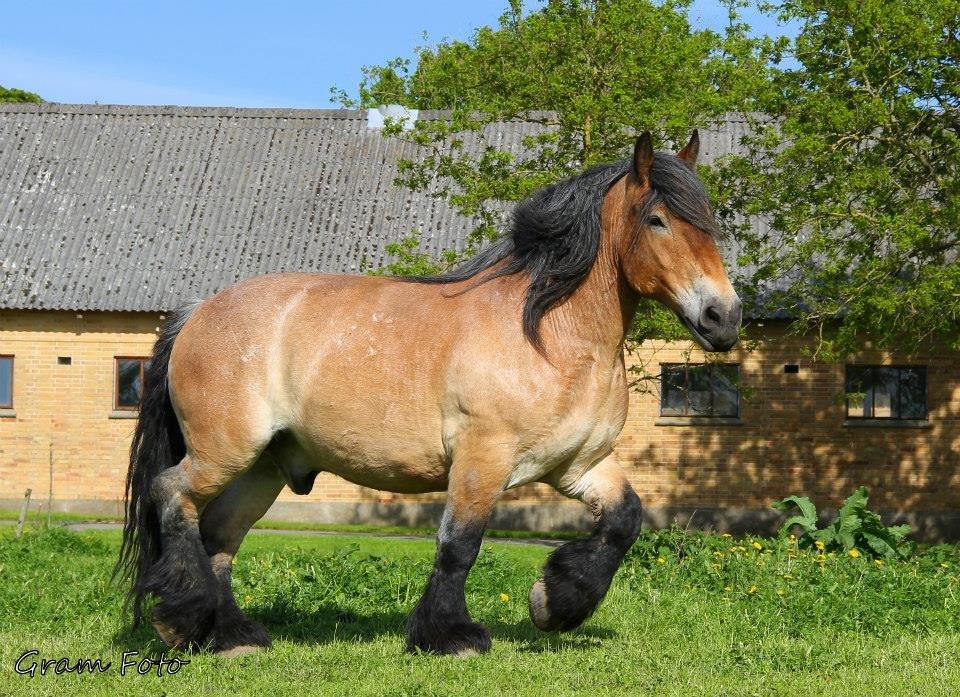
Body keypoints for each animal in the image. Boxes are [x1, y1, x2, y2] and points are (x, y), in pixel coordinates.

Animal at [114, 129, 744, 652]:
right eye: (658, 219)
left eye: (709, 221)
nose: (723, 318)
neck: (550, 335)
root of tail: (198, 312)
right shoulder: (482, 459)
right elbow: (458, 545)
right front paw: (451, 635)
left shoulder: (579, 464)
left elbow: (624, 520)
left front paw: (554, 604)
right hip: (225, 451)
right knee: (171, 496)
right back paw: (180, 621)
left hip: (262, 468)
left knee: (218, 535)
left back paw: (230, 635)